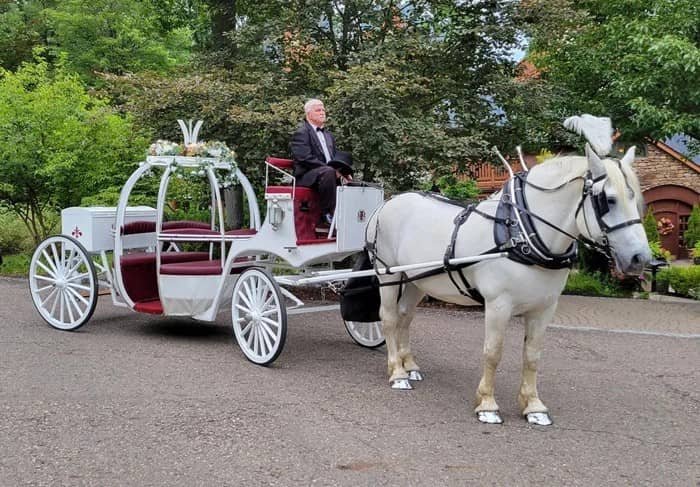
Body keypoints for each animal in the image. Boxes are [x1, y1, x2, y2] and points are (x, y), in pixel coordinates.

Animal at [366, 143, 652, 426]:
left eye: (635, 200)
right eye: (608, 200)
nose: (641, 258)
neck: (521, 234)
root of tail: (388, 203)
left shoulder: (544, 308)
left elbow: (532, 355)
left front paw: (534, 406)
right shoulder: (498, 304)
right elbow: (493, 352)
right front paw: (487, 404)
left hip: (417, 280)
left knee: (405, 317)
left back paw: (410, 366)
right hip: (388, 275)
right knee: (389, 318)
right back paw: (397, 372)